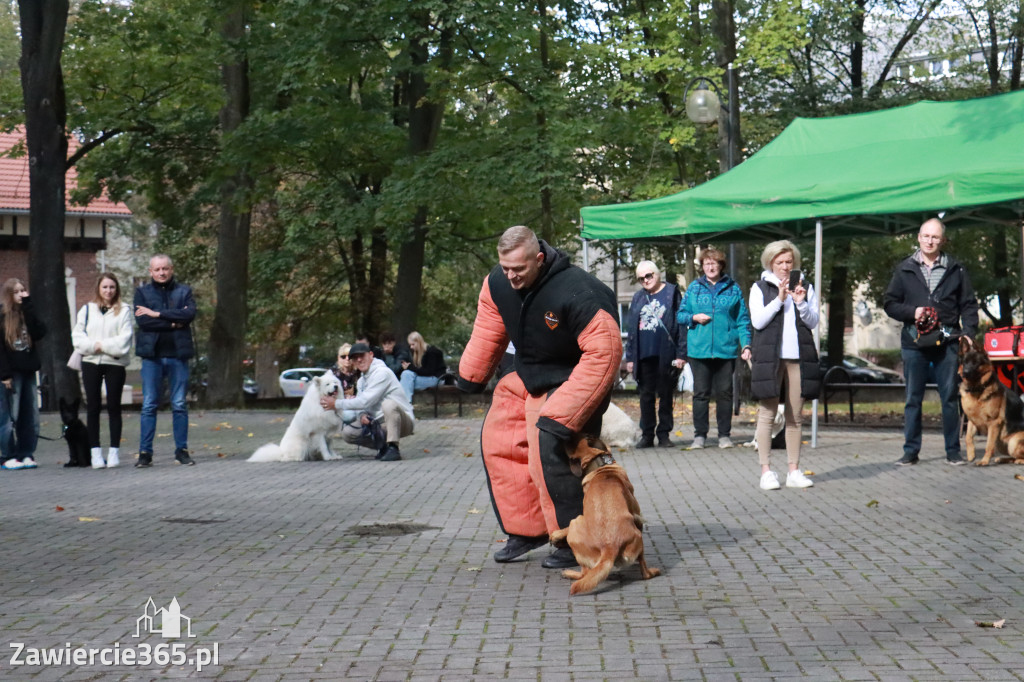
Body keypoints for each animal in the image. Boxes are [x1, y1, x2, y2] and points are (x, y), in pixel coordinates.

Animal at [548, 436, 659, 589]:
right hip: (637, 538)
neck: (602, 469)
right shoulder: (637, 516)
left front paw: (556, 535)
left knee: (584, 574)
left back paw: (569, 573)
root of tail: (609, 547)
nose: (565, 439)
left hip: (576, 521)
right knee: (645, 573)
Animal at [954, 335, 1024, 464]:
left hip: (1012, 442)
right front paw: (971, 455)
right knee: (1012, 456)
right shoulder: (972, 420)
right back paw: (1002, 459)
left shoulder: (993, 424)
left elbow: (989, 445)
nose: (965, 373)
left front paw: (984, 461)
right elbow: (968, 438)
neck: (977, 389)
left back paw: (1017, 461)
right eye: (965, 362)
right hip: (1001, 442)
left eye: (975, 363)